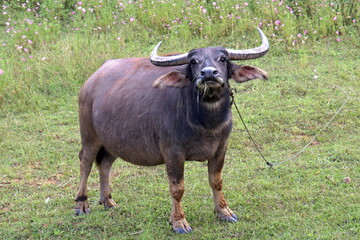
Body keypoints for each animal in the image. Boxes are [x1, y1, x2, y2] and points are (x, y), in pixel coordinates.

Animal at [74, 27, 268, 232]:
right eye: (193, 61)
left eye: (223, 59)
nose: (208, 74)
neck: (205, 122)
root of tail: (90, 82)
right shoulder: (173, 153)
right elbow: (177, 188)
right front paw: (178, 221)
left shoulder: (221, 148)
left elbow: (216, 181)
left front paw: (224, 212)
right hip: (90, 136)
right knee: (85, 162)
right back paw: (81, 203)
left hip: (112, 141)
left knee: (104, 164)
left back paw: (107, 201)